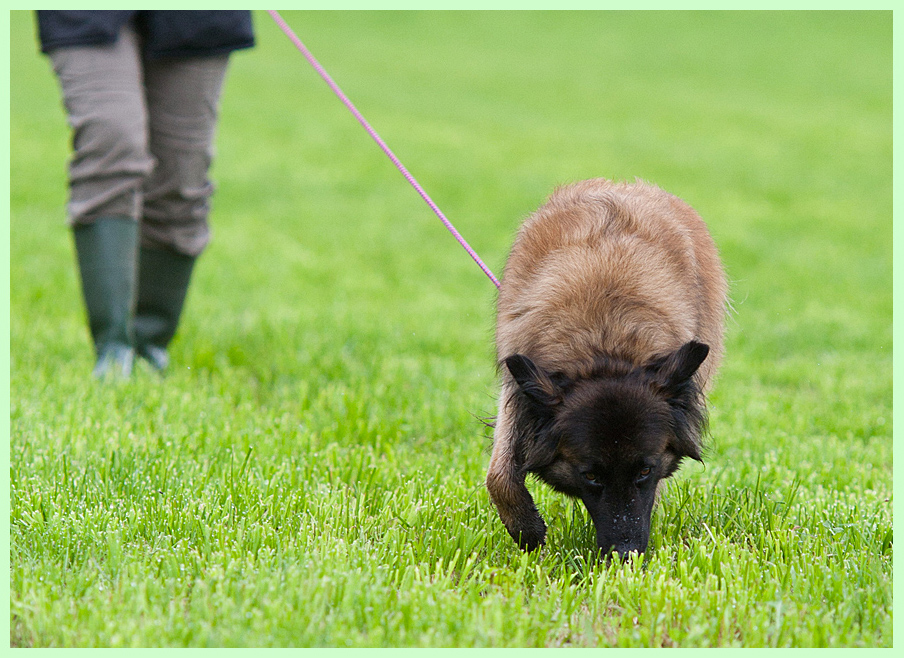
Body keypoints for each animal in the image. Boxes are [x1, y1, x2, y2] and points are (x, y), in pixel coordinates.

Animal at [488, 178, 728, 552]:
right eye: (590, 475)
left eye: (644, 471)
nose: (626, 554)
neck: (605, 349)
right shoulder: (519, 387)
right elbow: (498, 474)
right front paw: (527, 530)